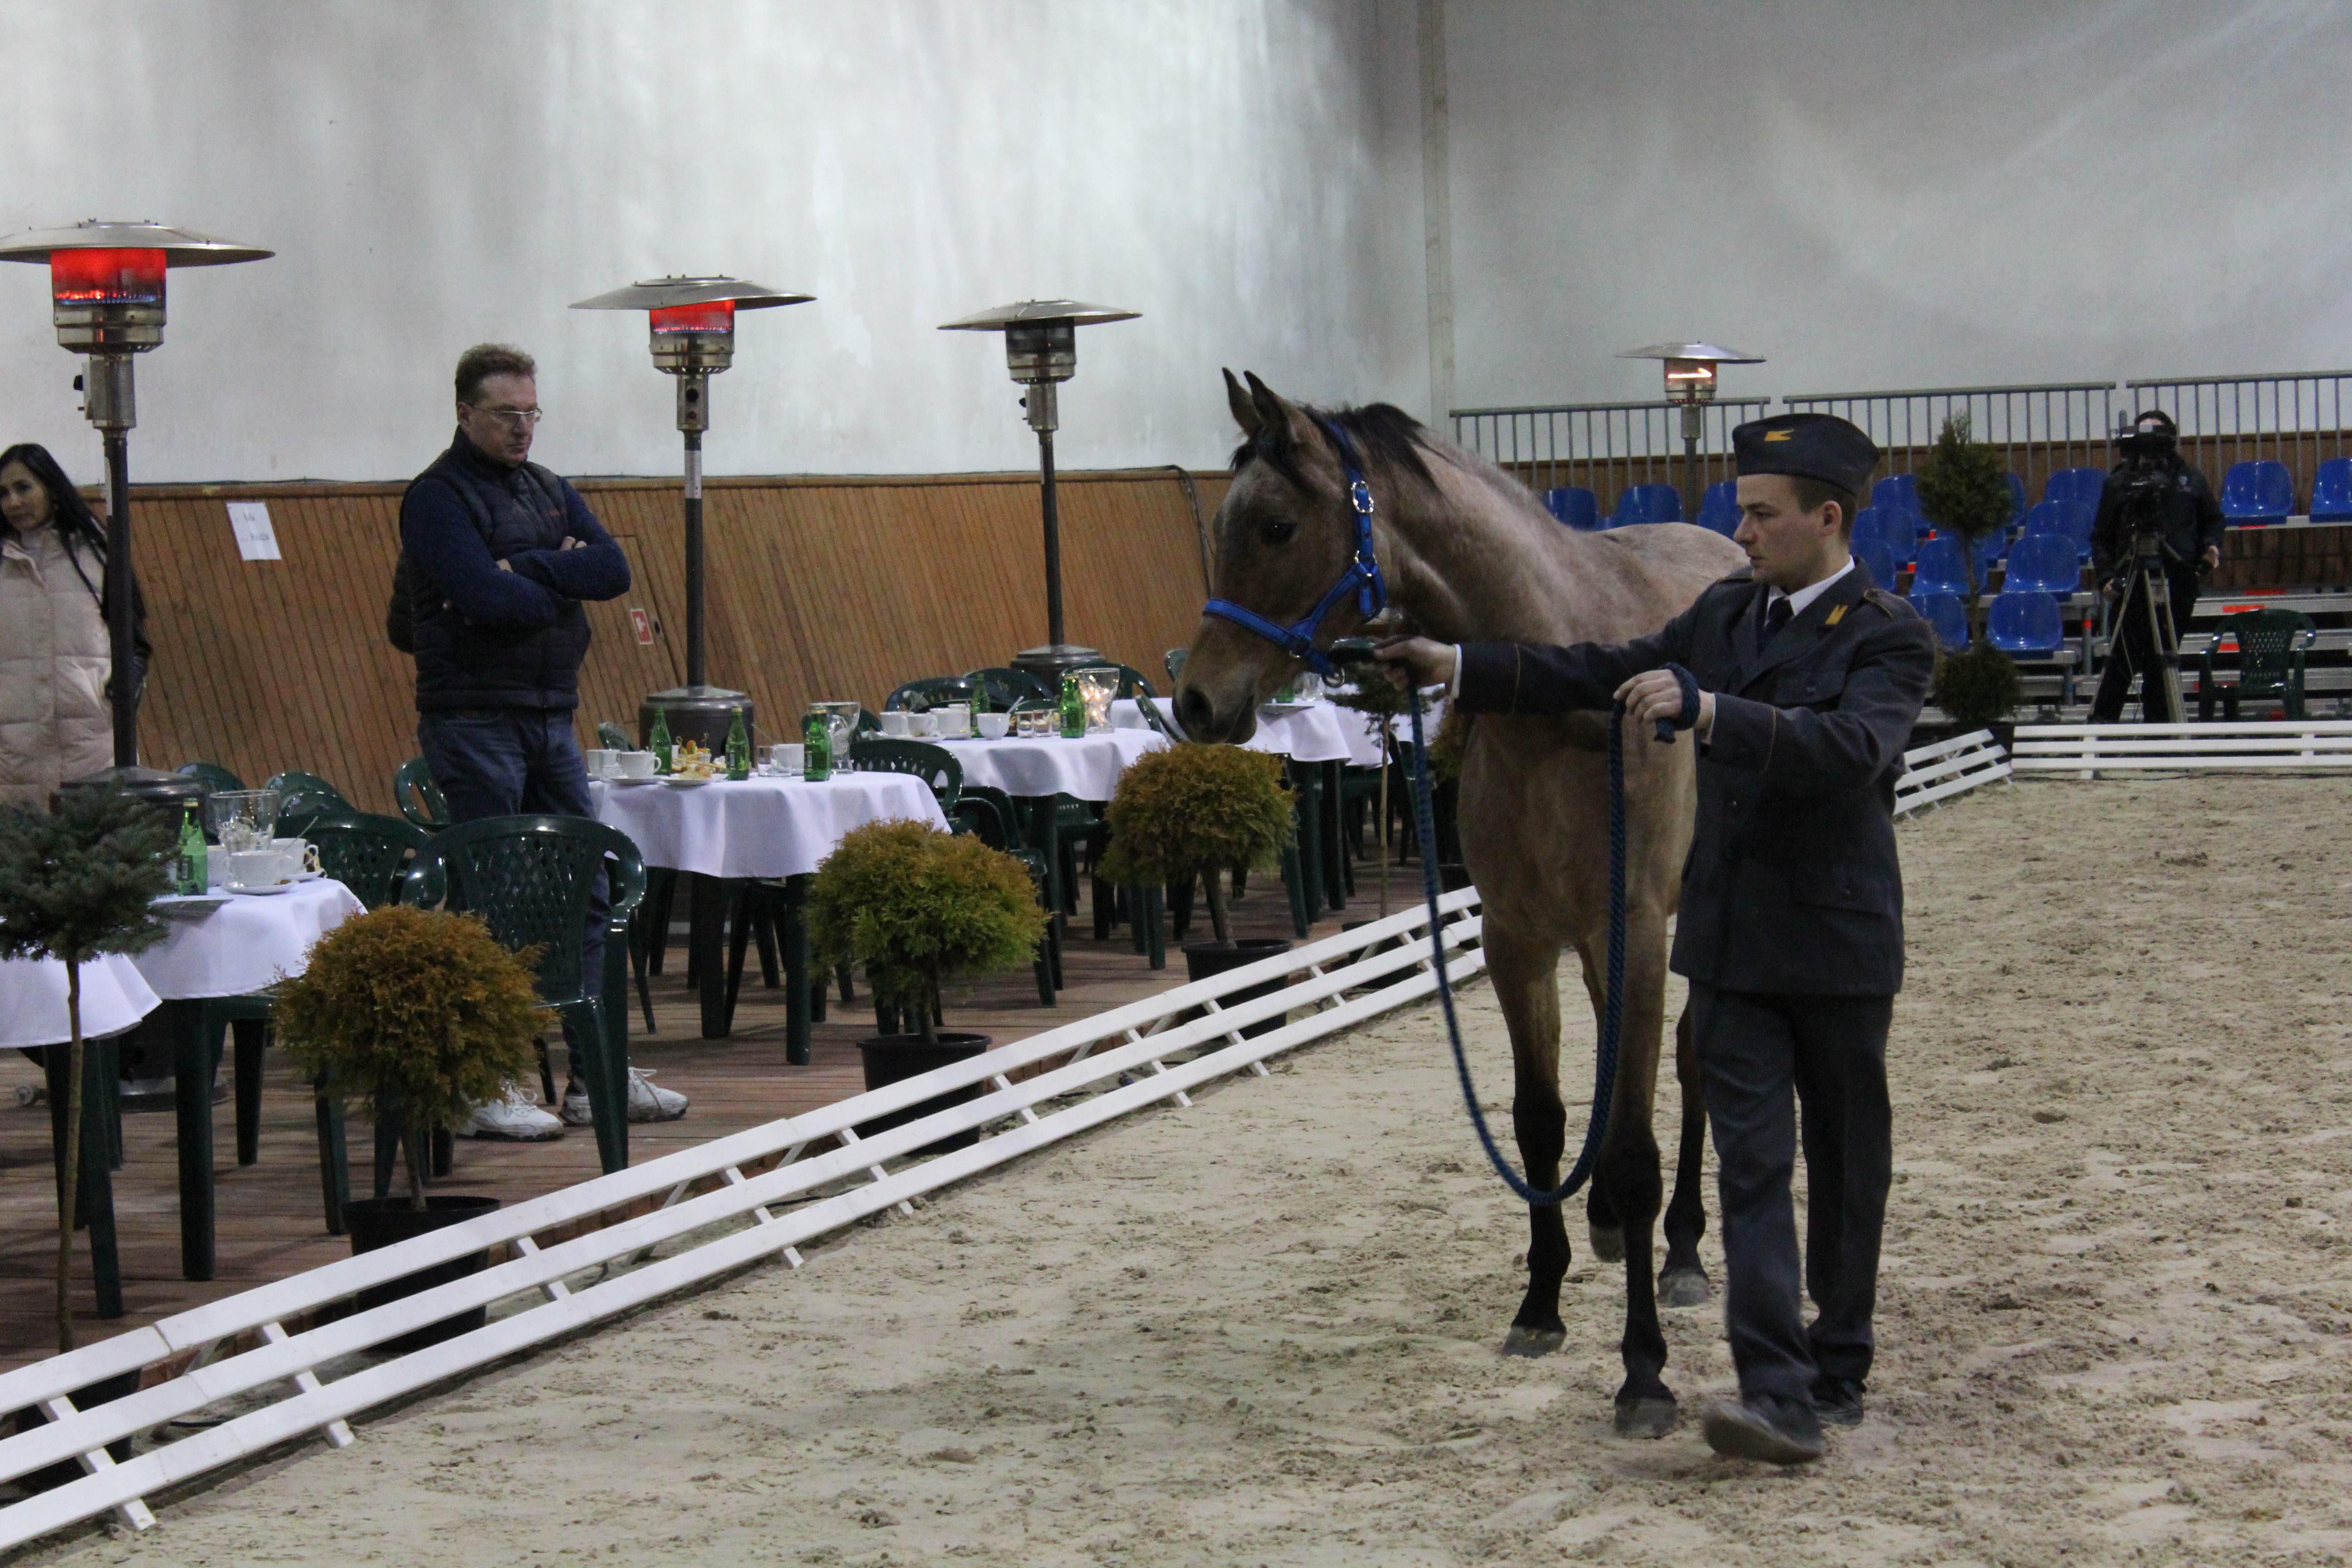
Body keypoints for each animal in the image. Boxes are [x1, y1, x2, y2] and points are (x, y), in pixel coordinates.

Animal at [1176, 369, 1749, 1439]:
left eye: (1276, 526)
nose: (1195, 703)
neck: (1568, 702)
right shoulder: (1518, 941)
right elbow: (1538, 1122)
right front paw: (1540, 1304)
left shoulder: (1633, 932)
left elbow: (1635, 1144)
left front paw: (1643, 1372)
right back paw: (1610, 1228)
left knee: (1691, 1062)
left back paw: (1685, 1250)